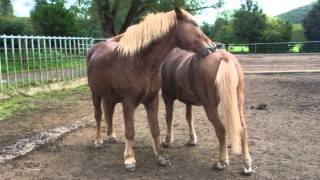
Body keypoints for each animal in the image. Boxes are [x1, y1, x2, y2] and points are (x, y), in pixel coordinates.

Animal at [86, 8, 214, 172]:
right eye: (195, 24)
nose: (212, 47)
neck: (140, 62)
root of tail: (94, 49)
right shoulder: (128, 102)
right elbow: (130, 131)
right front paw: (130, 160)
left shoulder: (152, 100)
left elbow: (155, 129)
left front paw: (161, 157)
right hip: (95, 93)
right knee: (98, 115)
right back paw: (98, 141)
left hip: (110, 96)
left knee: (109, 112)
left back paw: (112, 136)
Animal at [161, 47, 254, 175]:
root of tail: (224, 56)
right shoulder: (188, 100)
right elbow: (189, 117)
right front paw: (192, 140)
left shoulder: (167, 96)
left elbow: (169, 117)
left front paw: (167, 141)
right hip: (238, 102)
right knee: (243, 128)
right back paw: (247, 165)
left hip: (210, 106)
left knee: (221, 129)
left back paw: (221, 162)